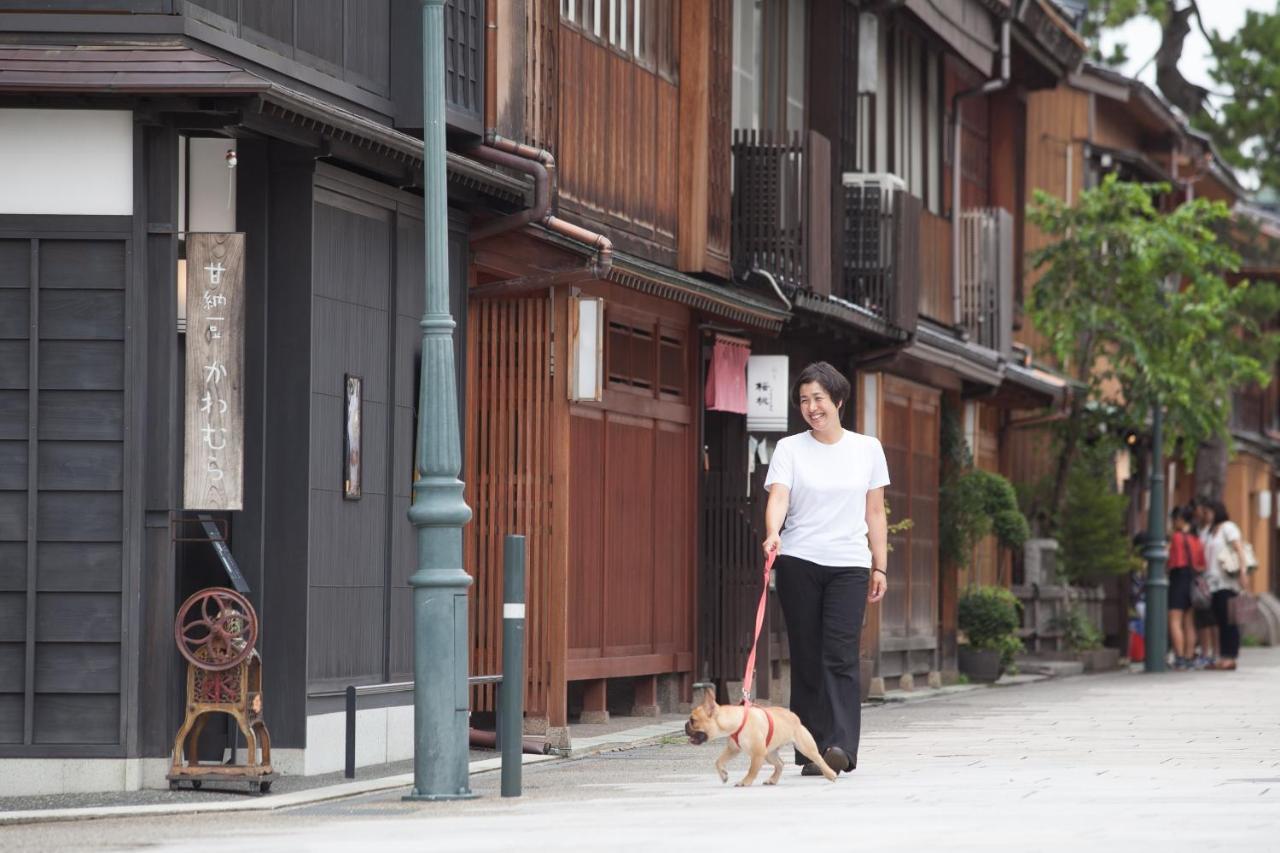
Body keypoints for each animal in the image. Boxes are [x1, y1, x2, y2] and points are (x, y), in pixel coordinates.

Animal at [686, 686, 834, 783]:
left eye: (693, 720)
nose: (686, 725)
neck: (737, 721)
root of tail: (793, 716)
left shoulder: (757, 753)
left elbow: (752, 770)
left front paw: (744, 782)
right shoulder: (733, 749)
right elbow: (719, 761)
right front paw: (723, 775)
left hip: (804, 747)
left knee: (818, 759)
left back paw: (830, 774)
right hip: (769, 753)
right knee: (780, 764)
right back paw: (772, 780)